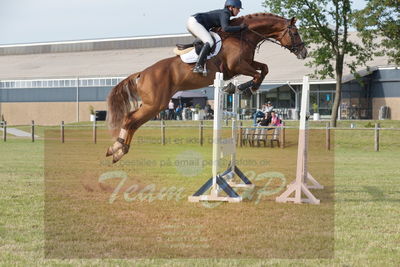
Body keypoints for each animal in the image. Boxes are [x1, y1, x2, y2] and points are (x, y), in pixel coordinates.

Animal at [105, 13, 306, 163]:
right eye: (295, 33)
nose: (304, 53)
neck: (242, 36)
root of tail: (143, 73)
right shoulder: (238, 66)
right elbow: (257, 74)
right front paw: (244, 88)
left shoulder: (247, 63)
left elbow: (264, 68)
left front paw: (241, 87)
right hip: (155, 104)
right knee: (130, 120)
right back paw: (117, 149)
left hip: (153, 105)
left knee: (133, 121)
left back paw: (117, 151)